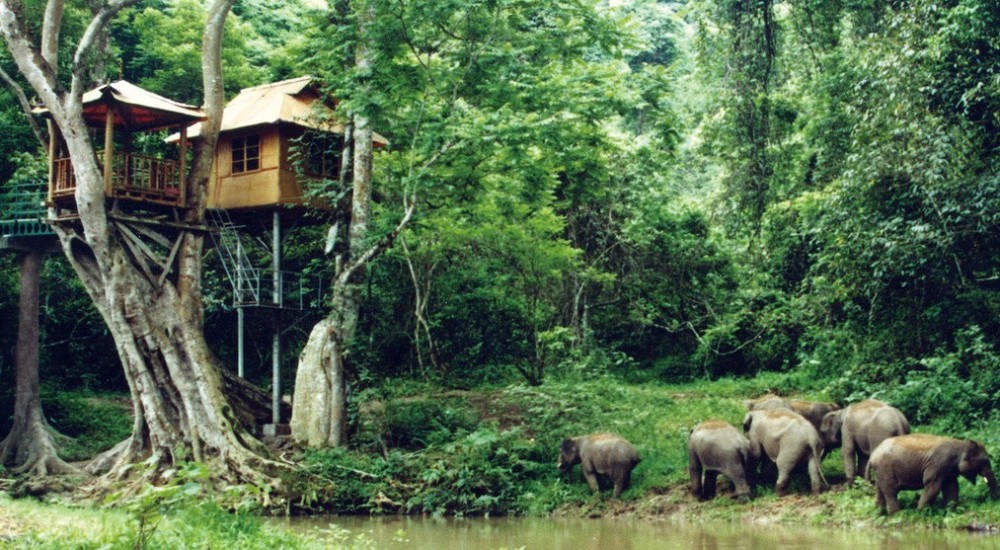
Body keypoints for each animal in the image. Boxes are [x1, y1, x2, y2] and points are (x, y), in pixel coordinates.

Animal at [868, 436, 1000, 516]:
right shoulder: (938, 464)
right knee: (891, 491)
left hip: (881, 471)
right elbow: (933, 487)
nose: (993, 501)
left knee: (880, 489)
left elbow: (952, 487)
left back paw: (879, 513)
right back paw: (896, 514)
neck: (961, 443)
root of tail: (872, 455)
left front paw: (949, 512)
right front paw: (921, 514)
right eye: (985, 462)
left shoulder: (949, 469)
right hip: (885, 469)